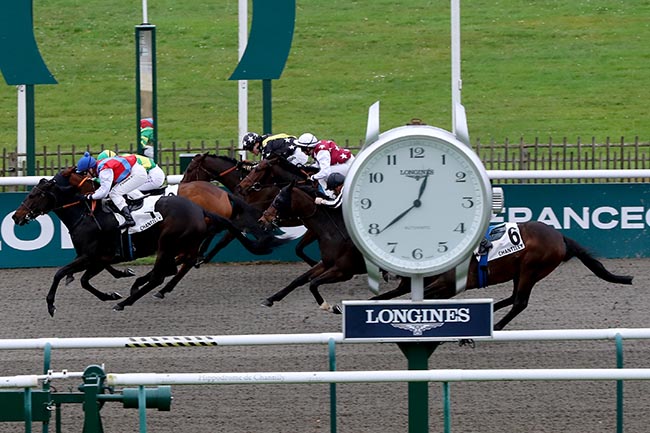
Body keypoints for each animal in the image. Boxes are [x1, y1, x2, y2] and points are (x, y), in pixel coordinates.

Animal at [11, 166, 276, 314]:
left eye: (34, 195)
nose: (16, 216)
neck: (87, 214)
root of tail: (202, 208)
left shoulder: (89, 256)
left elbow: (60, 274)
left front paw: (51, 304)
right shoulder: (97, 258)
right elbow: (86, 280)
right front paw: (113, 290)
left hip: (167, 242)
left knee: (163, 272)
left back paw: (130, 299)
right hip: (184, 242)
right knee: (182, 263)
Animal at [372, 221, 632, 330]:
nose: (386, 272)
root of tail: (560, 237)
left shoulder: (447, 285)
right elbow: (385, 298)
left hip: (531, 269)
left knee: (520, 302)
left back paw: (497, 325)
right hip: (520, 271)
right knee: (513, 297)